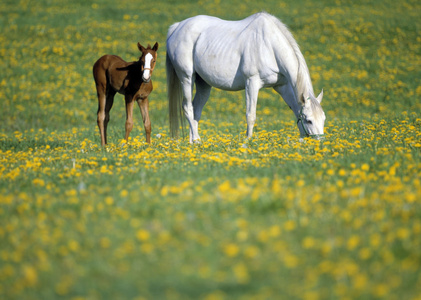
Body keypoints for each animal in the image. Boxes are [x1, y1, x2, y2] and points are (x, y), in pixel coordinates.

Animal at [165, 12, 324, 142]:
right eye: (309, 120)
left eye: (323, 119)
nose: (318, 143)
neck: (269, 46)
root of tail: (177, 27)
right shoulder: (252, 83)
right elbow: (251, 115)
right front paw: (248, 141)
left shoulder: (283, 86)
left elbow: (296, 109)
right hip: (186, 77)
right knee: (187, 107)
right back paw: (196, 140)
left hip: (203, 83)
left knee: (196, 110)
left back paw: (193, 141)